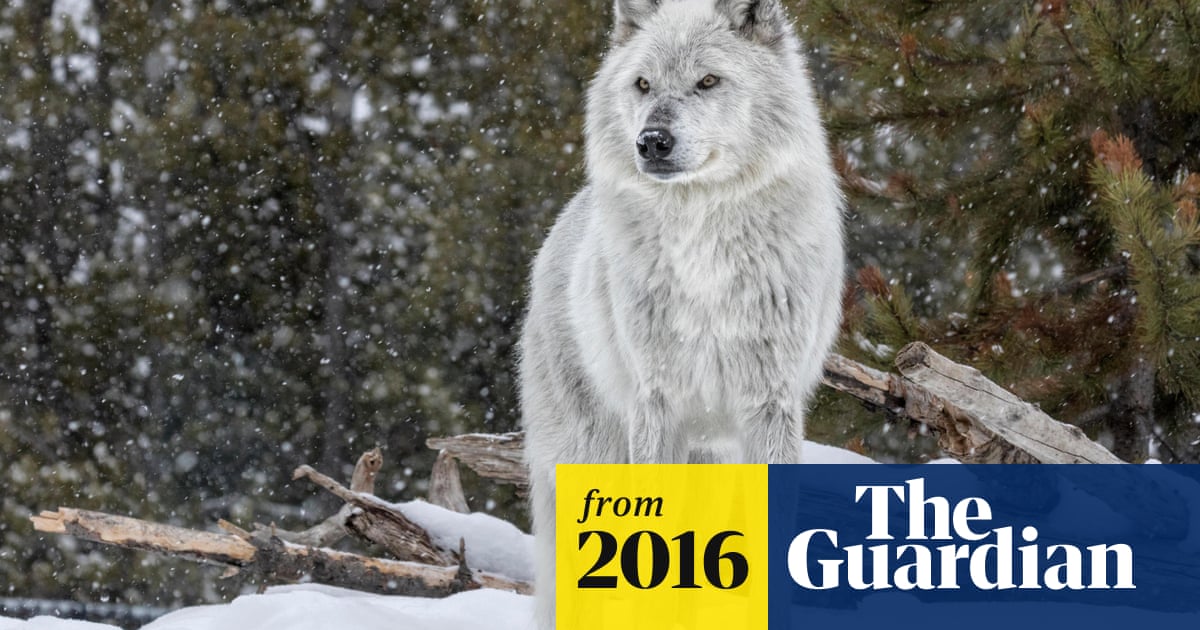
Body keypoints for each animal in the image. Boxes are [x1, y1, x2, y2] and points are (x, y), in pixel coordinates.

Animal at [518, 0, 844, 626]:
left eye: (708, 81)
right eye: (643, 84)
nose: (652, 141)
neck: (704, 247)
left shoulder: (769, 403)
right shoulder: (658, 402)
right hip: (593, 453)